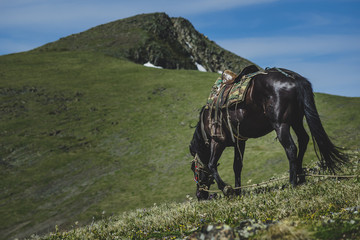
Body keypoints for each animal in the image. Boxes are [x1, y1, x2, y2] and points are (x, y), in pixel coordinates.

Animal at [190, 66, 348, 200]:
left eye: (194, 169)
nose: (199, 195)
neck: (205, 122)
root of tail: (294, 78)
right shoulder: (240, 141)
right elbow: (237, 166)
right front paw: (238, 191)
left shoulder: (218, 141)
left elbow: (211, 164)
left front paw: (227, 189)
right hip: (296, 120)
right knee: (303, 140)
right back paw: (301, 177)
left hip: (281, 124)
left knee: (291, 148)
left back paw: (292, 183)